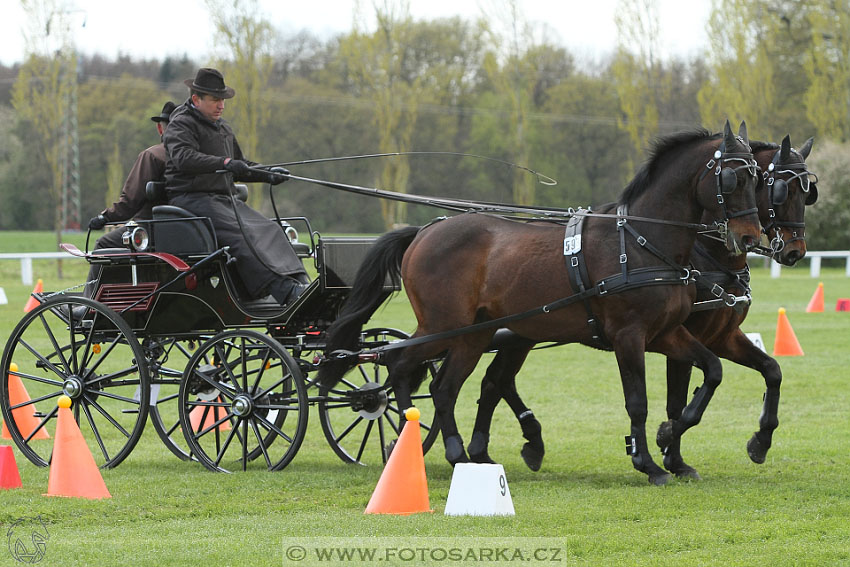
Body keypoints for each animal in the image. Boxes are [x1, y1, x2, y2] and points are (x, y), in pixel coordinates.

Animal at [320, 122, 760, 486]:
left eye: (757, 177)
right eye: (733, 177)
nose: (751, 238)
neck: (640, 241)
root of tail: (425, 231)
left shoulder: (666, 333)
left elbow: (713, 370)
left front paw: (670, 435)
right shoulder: (629, 336)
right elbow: (637, 402)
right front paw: (649, 464)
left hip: (473, 336)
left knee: (443, 387)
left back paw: (458, 454)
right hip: (443, 326)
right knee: (398, 362)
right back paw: (410, 443)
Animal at [468, 135, 812, 478]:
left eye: (808, 191)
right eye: (779, 188)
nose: (795, 251)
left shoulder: (721, 337)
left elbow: (771, 370)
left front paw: (759, 442)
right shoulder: (672, 335)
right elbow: (677, 400)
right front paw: (669, 450)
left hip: (523, 333)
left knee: (495, 381)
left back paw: (508, 447)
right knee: (495, 380)